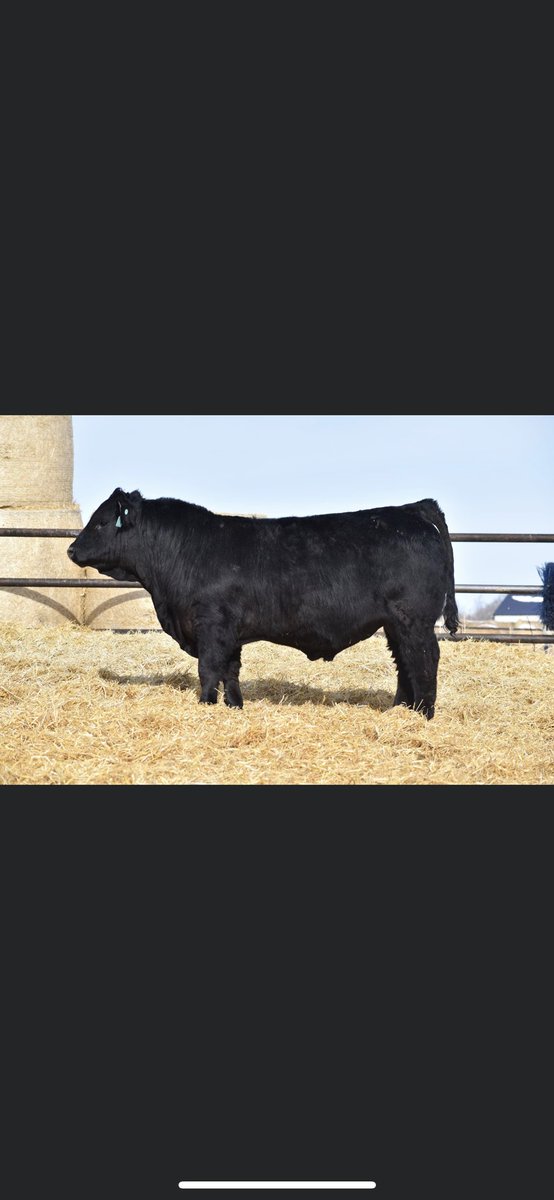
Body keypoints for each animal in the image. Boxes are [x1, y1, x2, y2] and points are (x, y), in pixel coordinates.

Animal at [67, 489, 459, 718]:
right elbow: (230, 671)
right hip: (395, 623)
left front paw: (205, 707)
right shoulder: (229, 632)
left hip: (414, 620)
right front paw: (234, 707)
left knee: (424, 659)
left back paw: (424, 715)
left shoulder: (212, 624)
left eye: (101, 522)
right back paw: (400, 711)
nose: (71, 549)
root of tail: (412, 509)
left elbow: (209, 669)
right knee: (404, 662)